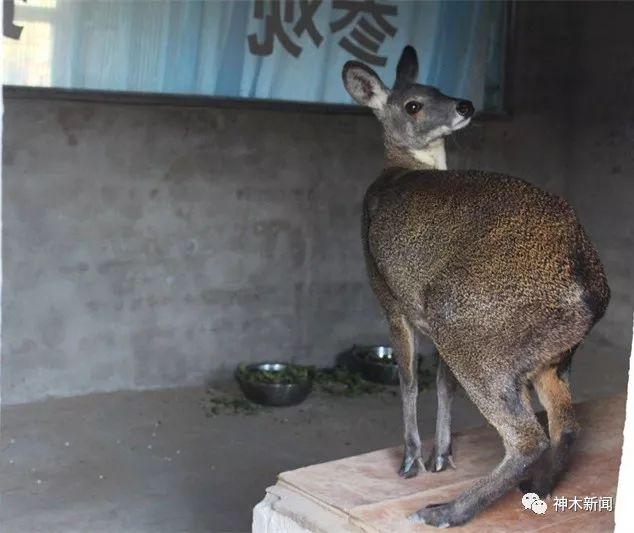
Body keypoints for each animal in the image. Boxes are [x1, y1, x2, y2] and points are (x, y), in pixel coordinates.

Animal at [340, 46, 608, 528]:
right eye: (414, 103)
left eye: (441, 88)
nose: (465, 105)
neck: (399, 171)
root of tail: (590, 287)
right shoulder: (409, 312)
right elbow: (442, 384)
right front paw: (441, 456)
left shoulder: (388, 297)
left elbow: (408, 379)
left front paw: (412, 461)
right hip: (551, 356)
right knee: (566, 425)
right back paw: (536, 489)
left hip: (471, 329)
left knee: (527, 437)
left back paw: (447, 510)